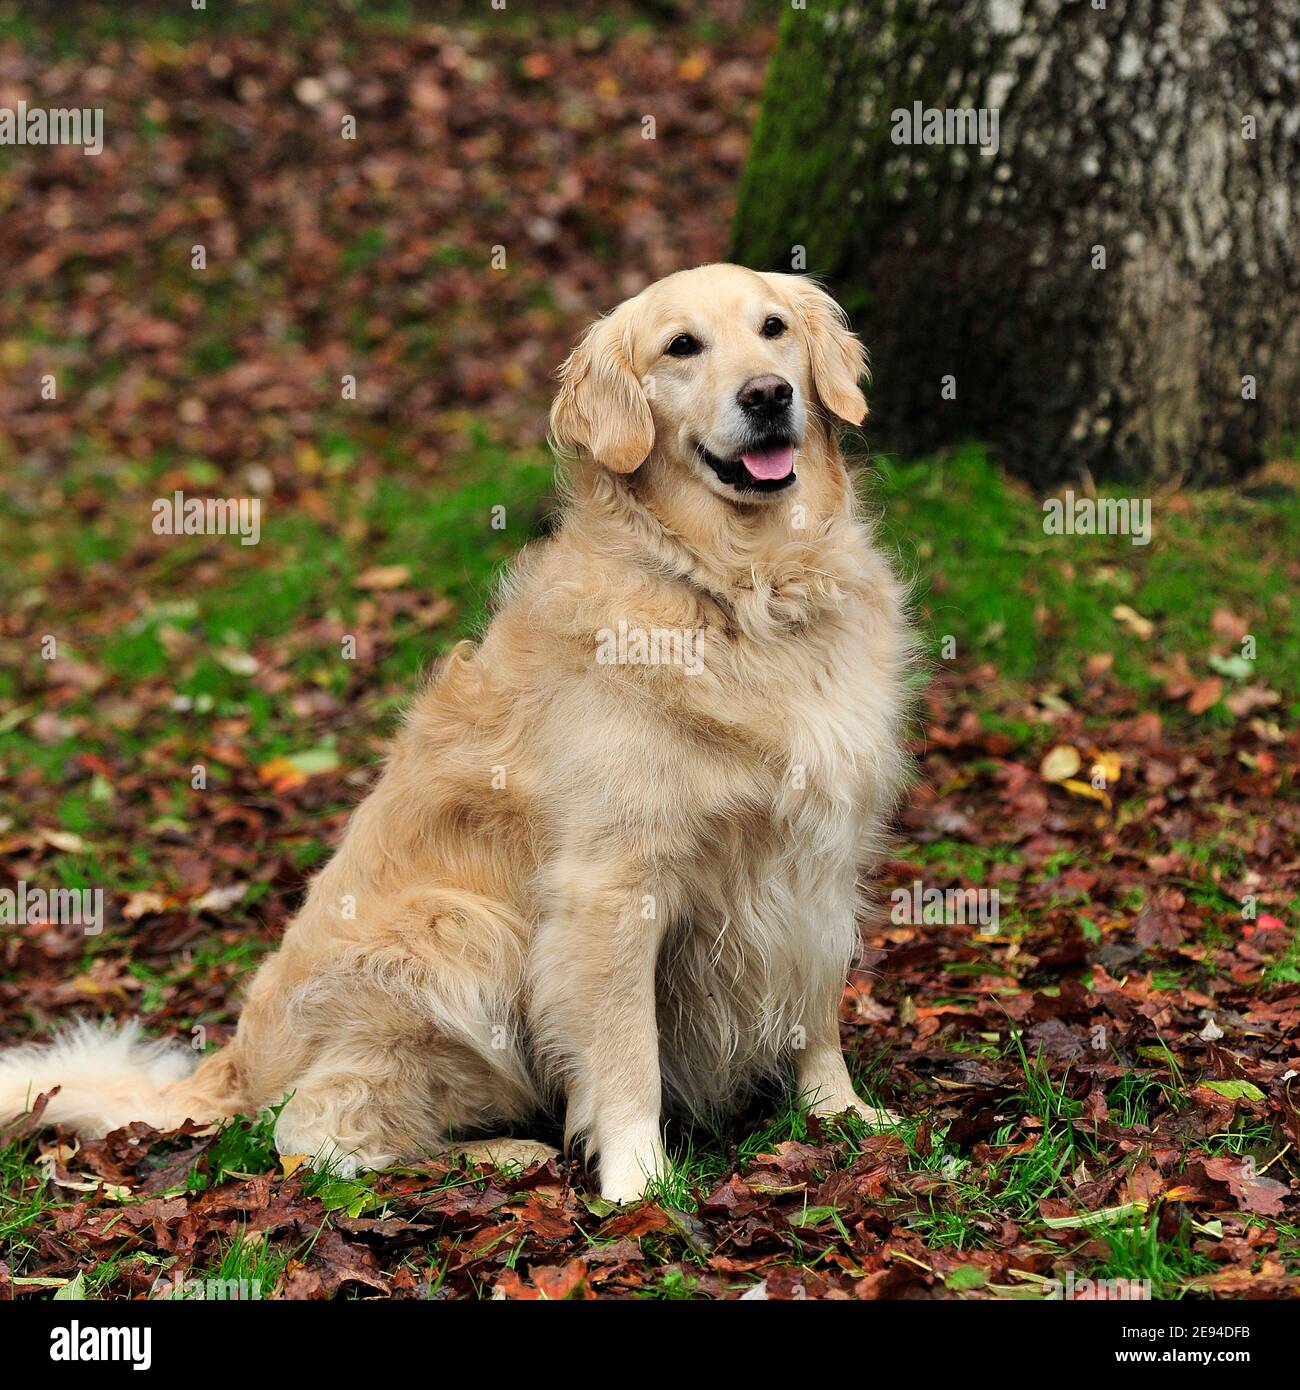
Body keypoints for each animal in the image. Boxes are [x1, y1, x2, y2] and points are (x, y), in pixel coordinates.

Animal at [0, 265, 912, 1200]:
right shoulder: (611, 885)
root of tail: (235, 1067)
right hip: (456, 927)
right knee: (314, 1132)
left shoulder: (817, 853)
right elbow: (627, 1053)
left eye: (773, 329)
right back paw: (496, 1154)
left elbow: (816, 1006)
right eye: (682, 346)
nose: (767, 395)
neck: (742, 588)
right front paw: (639, 1182)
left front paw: (839, 1111)